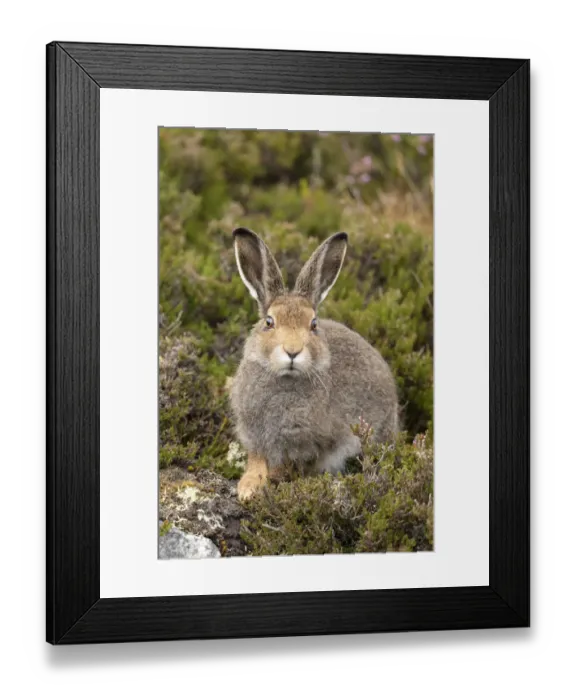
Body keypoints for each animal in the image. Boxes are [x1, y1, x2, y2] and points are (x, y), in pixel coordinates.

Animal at [229, 227, 399, 501]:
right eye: (269, 322)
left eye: (314, 324)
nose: (293, 351)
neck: (285, 380)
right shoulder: (254, 434)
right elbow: (257, 460)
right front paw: (248, 486)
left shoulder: (311, 443)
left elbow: (288, 465)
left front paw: (267, 482)